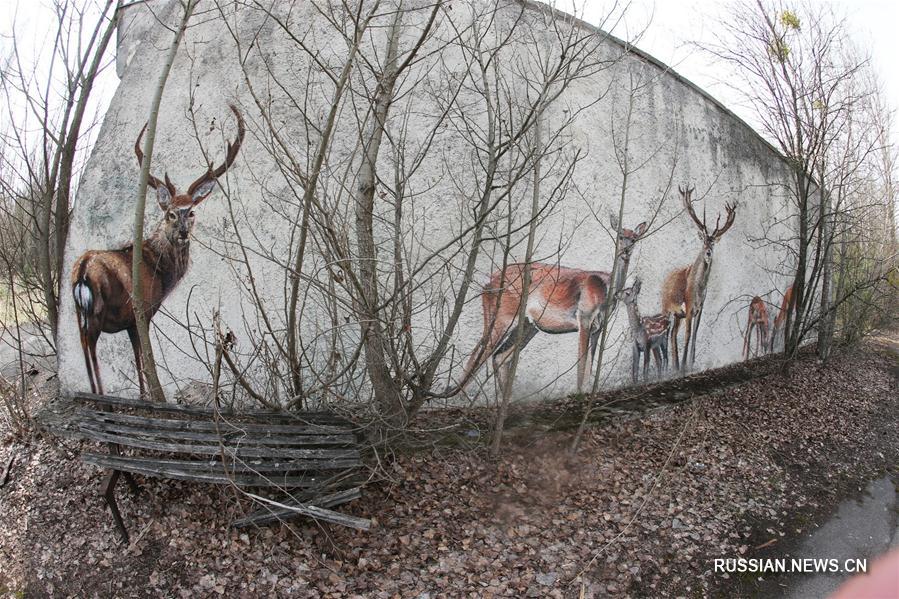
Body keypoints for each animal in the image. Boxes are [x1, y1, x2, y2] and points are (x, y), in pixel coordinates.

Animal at [71, 105, 244, 396]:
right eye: (170, 214)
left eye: (191, 212)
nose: (182, 233)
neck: (161, 271)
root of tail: (82, 269)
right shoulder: (140, 313)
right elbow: (144, 358)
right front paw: (149, 396)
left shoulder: (131, 322)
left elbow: (137, 358)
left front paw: (144, 395)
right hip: (96, 311)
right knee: (91, 350)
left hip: (79, 313)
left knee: (84, 349)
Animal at [458, 216, 648, 394]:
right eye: (620, 236)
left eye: (634, 238)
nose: (626, 251)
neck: (605, 292)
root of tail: (486, 285)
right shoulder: (583, 318)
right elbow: (581, 364)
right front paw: (579, 393)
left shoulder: (598, 328)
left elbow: (589, 365)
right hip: (501, 317)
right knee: (478, 354)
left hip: (527, 325)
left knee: (499, 356)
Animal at [660, 188, 740, 372]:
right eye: (704, 240)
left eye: (714, 242)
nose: (709, 252)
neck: (698, 289)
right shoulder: (689, 306)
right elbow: (688, 334)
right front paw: (684, 366)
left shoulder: (700, 308)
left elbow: (695, 334)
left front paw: (690, 363)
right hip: (666, 307)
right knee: (666, 333)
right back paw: (670, 366)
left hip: (678, 314)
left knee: (673, 334)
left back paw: (674, 366)